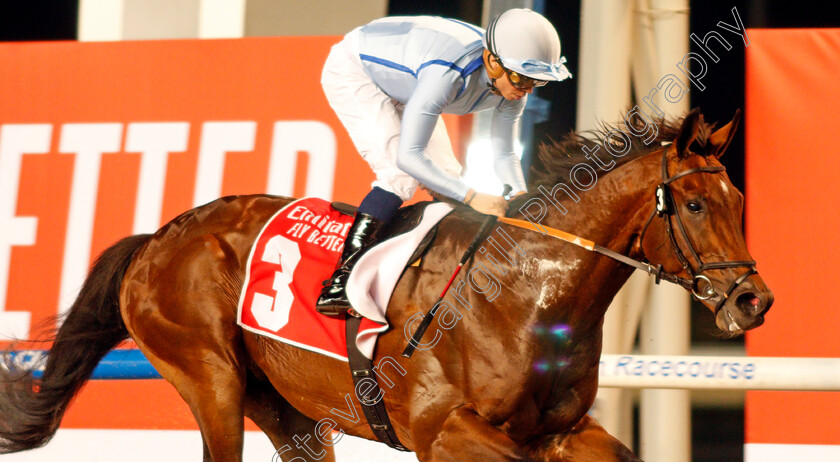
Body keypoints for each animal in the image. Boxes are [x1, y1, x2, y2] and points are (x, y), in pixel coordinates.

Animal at [0, 110, 776, 460]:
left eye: (740, 199)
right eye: (696, 204)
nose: (754, 299)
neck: (528, 300)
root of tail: (157, 238)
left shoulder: (562, 433)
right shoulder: (444, 432)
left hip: (287, 410)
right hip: (209, 378)